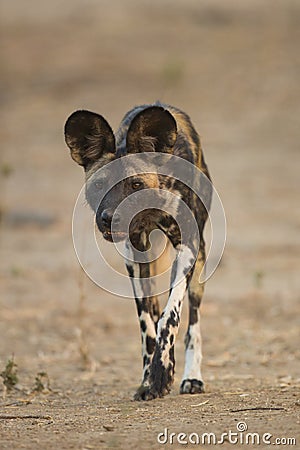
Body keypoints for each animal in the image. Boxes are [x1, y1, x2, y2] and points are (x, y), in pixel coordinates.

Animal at [64, 103, 212, 400]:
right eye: (99, 185)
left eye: (135, 185)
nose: (110, 218)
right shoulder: (134, 256)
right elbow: (147, 325)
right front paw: (149, 379)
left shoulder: (188, 248)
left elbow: (170, 317)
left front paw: (161, 372)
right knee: (154, 312)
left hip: (199, 265)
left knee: (193, 322)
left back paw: (192, 377)